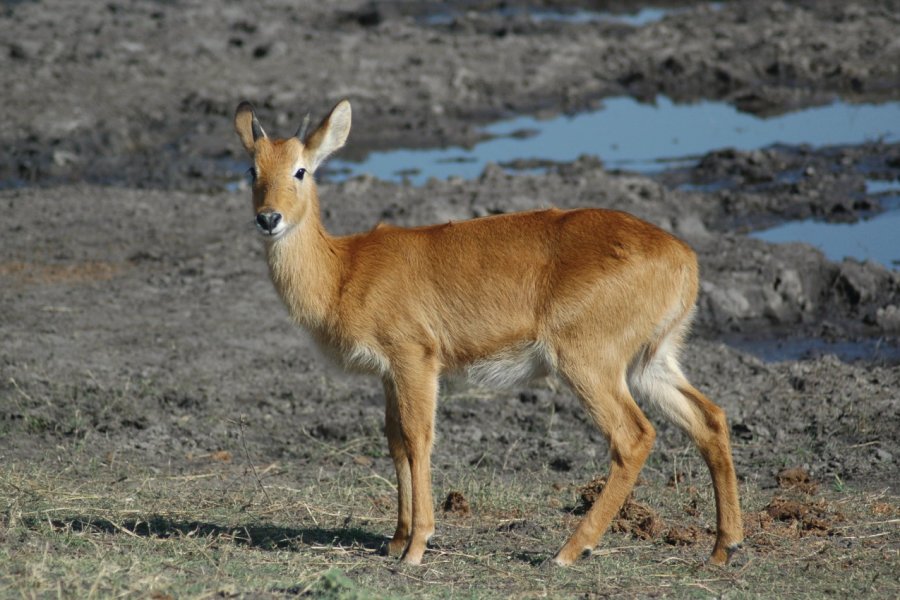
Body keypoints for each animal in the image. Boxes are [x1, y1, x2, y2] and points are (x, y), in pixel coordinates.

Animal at [234, 99, 744, 568]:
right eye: (251, 169)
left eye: (300, 169)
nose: (268, 218)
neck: (344, 270)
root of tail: (683, 256)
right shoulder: (389, 374)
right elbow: (395, 440)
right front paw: (396, 539)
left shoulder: (415, 358)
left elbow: (419, 438)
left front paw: (416, 547)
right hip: (650, 362)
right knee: (710, 418)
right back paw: (725, 547)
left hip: (588, 363)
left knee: (634, 436)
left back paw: (568, 551)